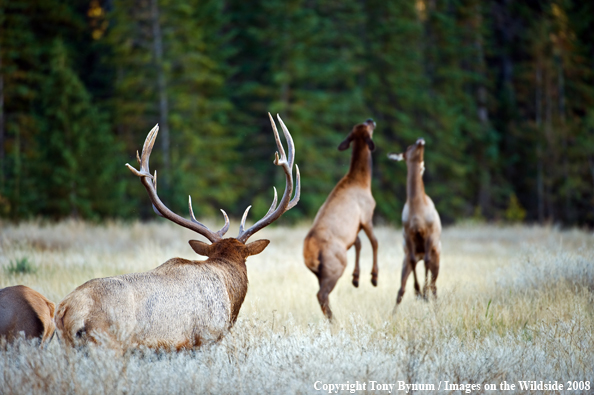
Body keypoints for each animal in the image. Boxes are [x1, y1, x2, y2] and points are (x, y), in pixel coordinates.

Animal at [302, 118, 376, 322]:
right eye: (367, 127)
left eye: (359, 126)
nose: (370, 119)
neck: (362, 181)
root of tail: (309, 253)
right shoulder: (367, 215)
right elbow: (374, 242)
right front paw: (374, 277)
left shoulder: (354, 229)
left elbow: (359, 243)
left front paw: (356, 278)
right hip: (335, 266)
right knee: (322, 295)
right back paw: (334, 321)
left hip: (320, 273)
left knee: (322, 295)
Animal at [388, 139, 440, 312]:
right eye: (409, 147)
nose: (421, 140)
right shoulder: (408, 233)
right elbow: (411, 259)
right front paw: (418, 292)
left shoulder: (430, 233)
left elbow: (427, 261)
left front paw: (423, 293)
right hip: (405, 263)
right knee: (401, 289)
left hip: (437, 259)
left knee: (434, 285)